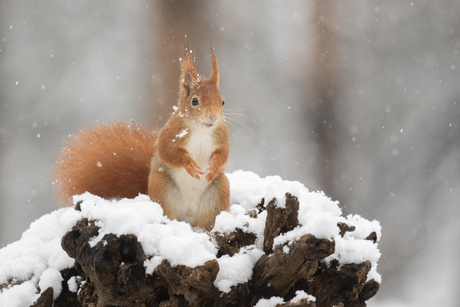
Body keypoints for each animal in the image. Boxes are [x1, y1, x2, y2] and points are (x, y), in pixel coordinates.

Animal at [55, 48, 230, 231]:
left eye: (222, 101)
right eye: (194, 101)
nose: (213, 117)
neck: (201, 130)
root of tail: (187, 217)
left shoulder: (221, 135)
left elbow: (224, 152)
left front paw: (215, 164)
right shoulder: (170, 134)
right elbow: (167, 151)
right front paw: (189, 164)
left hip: (218, 193)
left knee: (207, 223)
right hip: (162, 189)